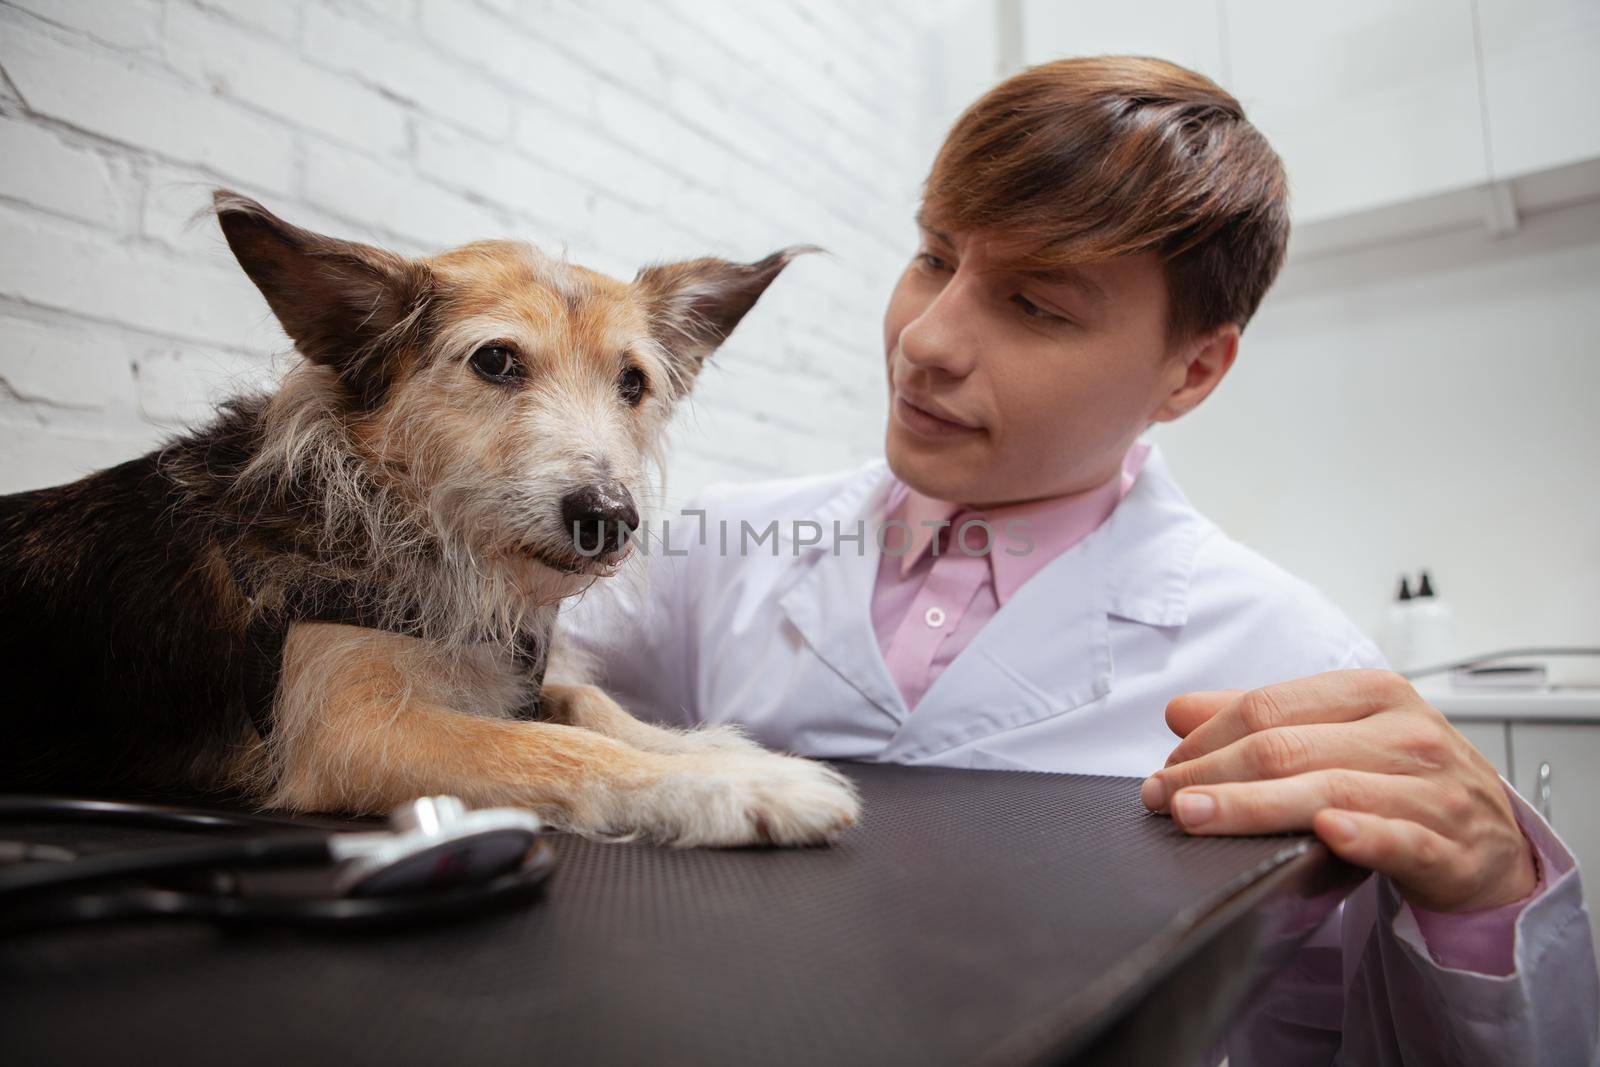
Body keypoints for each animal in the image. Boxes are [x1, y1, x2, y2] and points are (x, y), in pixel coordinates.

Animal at [0, 189, 864, 844]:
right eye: (495, 361)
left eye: (633, 382)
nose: (608, 517)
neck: (412, 522)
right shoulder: (348, 728)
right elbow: (547, 746)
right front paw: (736, 787)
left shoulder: (508, 671)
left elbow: (589, 705)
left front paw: (724, 751)